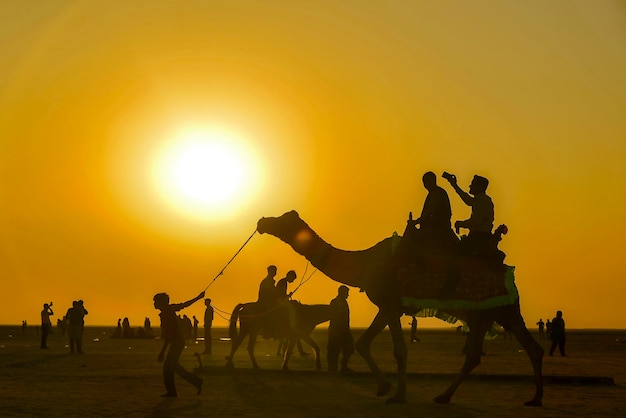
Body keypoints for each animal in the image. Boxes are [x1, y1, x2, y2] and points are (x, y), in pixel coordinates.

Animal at [256, 211, 544, 406]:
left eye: (283, 219)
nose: (262, 221)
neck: (364, 263)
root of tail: (507, 275)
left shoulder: (390, 304)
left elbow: (393, 349)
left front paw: (394, 392)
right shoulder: (389, 307)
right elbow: (367, 343)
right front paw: (388, 389)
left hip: (494, 310)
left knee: (490, 352)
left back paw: (446, 396)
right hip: (495, 313)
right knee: (520, 350)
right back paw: (530, 399)